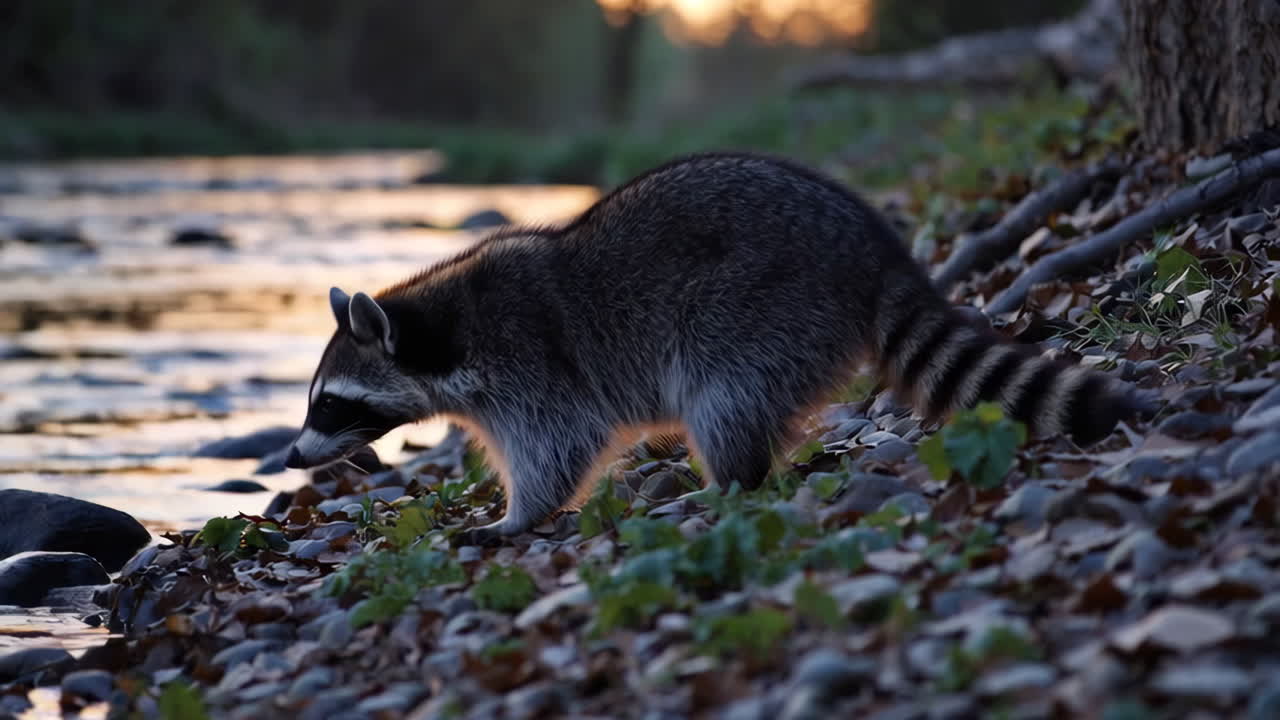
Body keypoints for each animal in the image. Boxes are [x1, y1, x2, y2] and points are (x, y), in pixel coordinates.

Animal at [286, 152, 1142, 541]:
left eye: (330, 402)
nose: (291, 455)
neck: (439, 328)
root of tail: (874, 248)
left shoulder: (531, 361)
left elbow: (558, 446)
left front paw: (518, 515)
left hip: (760, 309)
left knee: (721, 395)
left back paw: (726, 480)